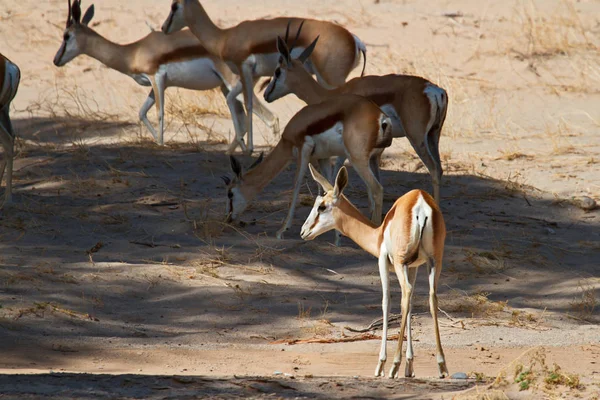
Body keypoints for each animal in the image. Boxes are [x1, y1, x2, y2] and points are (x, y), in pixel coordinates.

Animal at [53, 0, 278, 147]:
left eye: (66, 36)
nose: (56, 60)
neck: (133, 51)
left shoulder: (157, 79)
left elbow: (159, 113)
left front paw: (162, 144)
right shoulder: (153, 86)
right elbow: (142, 112)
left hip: (234, 85)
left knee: (270, 118)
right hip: (225, 88)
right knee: (243, 120)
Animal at [161, 0, 366, 155]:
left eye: (174, 5)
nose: (163, 27)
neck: (225, 38)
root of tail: (355, 40)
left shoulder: (244, 68)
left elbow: (248, 104)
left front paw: (249, 148)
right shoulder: (254, 75)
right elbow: (233, 99)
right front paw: (234, 148)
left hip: (331, 80)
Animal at [223, 91, 392, 242]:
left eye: (230, 193)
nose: (229, 218)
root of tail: (381, 117)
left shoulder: (303, 150)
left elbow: (296, 186)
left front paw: (281, 231)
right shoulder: (323, 158)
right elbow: (328, 188)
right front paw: (336, 238)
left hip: (357, 159)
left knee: (377, 189)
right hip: (373, 159)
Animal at [264, 36, 448, 203]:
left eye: (277, 71)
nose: (266, 94)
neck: (333, 94)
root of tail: (434, 90)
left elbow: (336, 172)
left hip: (416, 138)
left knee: (433, 169)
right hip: (433, 136)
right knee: (439, 169)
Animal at [302, 165, 448, 378]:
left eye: (322, 206)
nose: (303, 232)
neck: (378, 234)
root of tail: (420, 203)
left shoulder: (383, 261)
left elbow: (386, 302)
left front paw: (381, 365)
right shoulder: (413, 266)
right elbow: (412, 305)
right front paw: (409, 366)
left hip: (400, 263)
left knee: (405, 294)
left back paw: (394, 365)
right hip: (434, 262)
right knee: (431, 297)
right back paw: (441, 365)